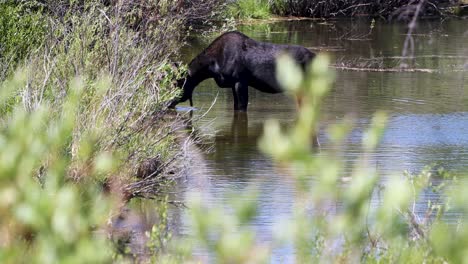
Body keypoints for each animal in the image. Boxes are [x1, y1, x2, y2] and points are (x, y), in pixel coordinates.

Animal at [168, 31, 314, 111]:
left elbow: (242, 107)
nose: (168, 103)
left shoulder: (240, 81)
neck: (211, 67)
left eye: (177, 83)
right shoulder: (233, 84)